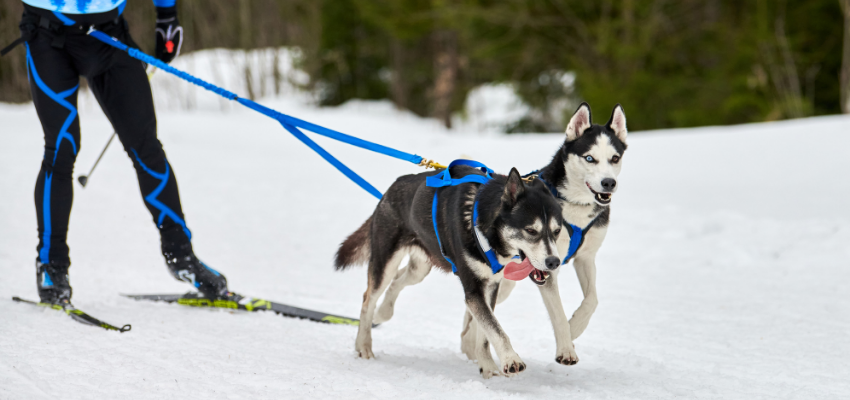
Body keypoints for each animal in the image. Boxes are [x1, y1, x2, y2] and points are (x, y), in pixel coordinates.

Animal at [336, 166, 564, 378]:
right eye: (531, 230)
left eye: (557, 231)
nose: (554, 262)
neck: (483, 227)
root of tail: (394, 186)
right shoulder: (473, 291)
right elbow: (494, 328)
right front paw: (510, 359)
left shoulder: (490, 286)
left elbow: (485, 334)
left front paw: (488, 368)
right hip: (386, 263)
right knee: (368, 298)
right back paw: (363, 345)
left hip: (420, 269)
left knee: (397, 281)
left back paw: (384, 312)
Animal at [458, 103, 628, 368]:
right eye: (590, 158)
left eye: (615, 158)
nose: (608, 183)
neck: (574, 205)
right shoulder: (546, 267)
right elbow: (557, 310)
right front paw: (566, 348)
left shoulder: (586, 257)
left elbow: (592, 299)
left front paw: (575, 327)